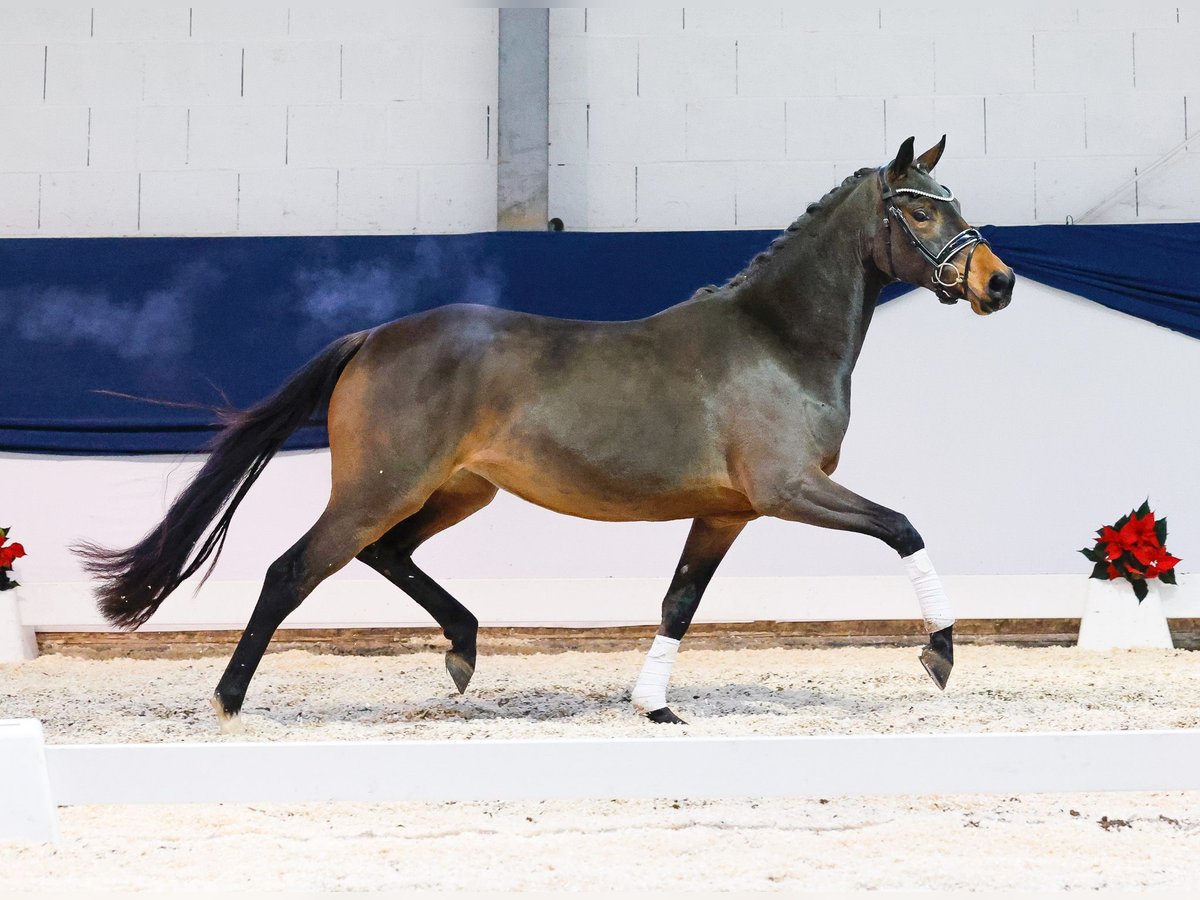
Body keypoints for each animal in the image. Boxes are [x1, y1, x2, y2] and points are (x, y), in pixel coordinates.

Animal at [77, 139, 1012, 734]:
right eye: (919, 210)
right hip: (380, 490)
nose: (998, 284)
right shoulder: (788, 490)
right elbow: (902, 527)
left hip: (456, 491)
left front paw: (654, 705)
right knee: (292, 571)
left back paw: (462, 650)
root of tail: (372, 337)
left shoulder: (726, 512)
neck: (776, 340)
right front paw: (939, 654)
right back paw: (230, 702)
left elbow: (679, 602)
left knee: (389, 555)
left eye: (956, 204)